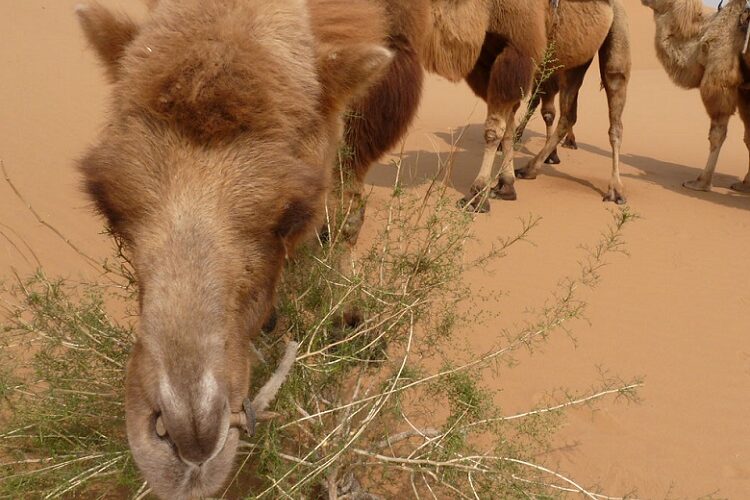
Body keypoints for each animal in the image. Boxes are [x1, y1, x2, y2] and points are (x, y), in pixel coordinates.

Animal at [640, 0, 750, 191]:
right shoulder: (744, 93)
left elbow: (717, 134)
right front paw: (746, 184)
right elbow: (749, 137)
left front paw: (701, 183)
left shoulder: (720, 85)